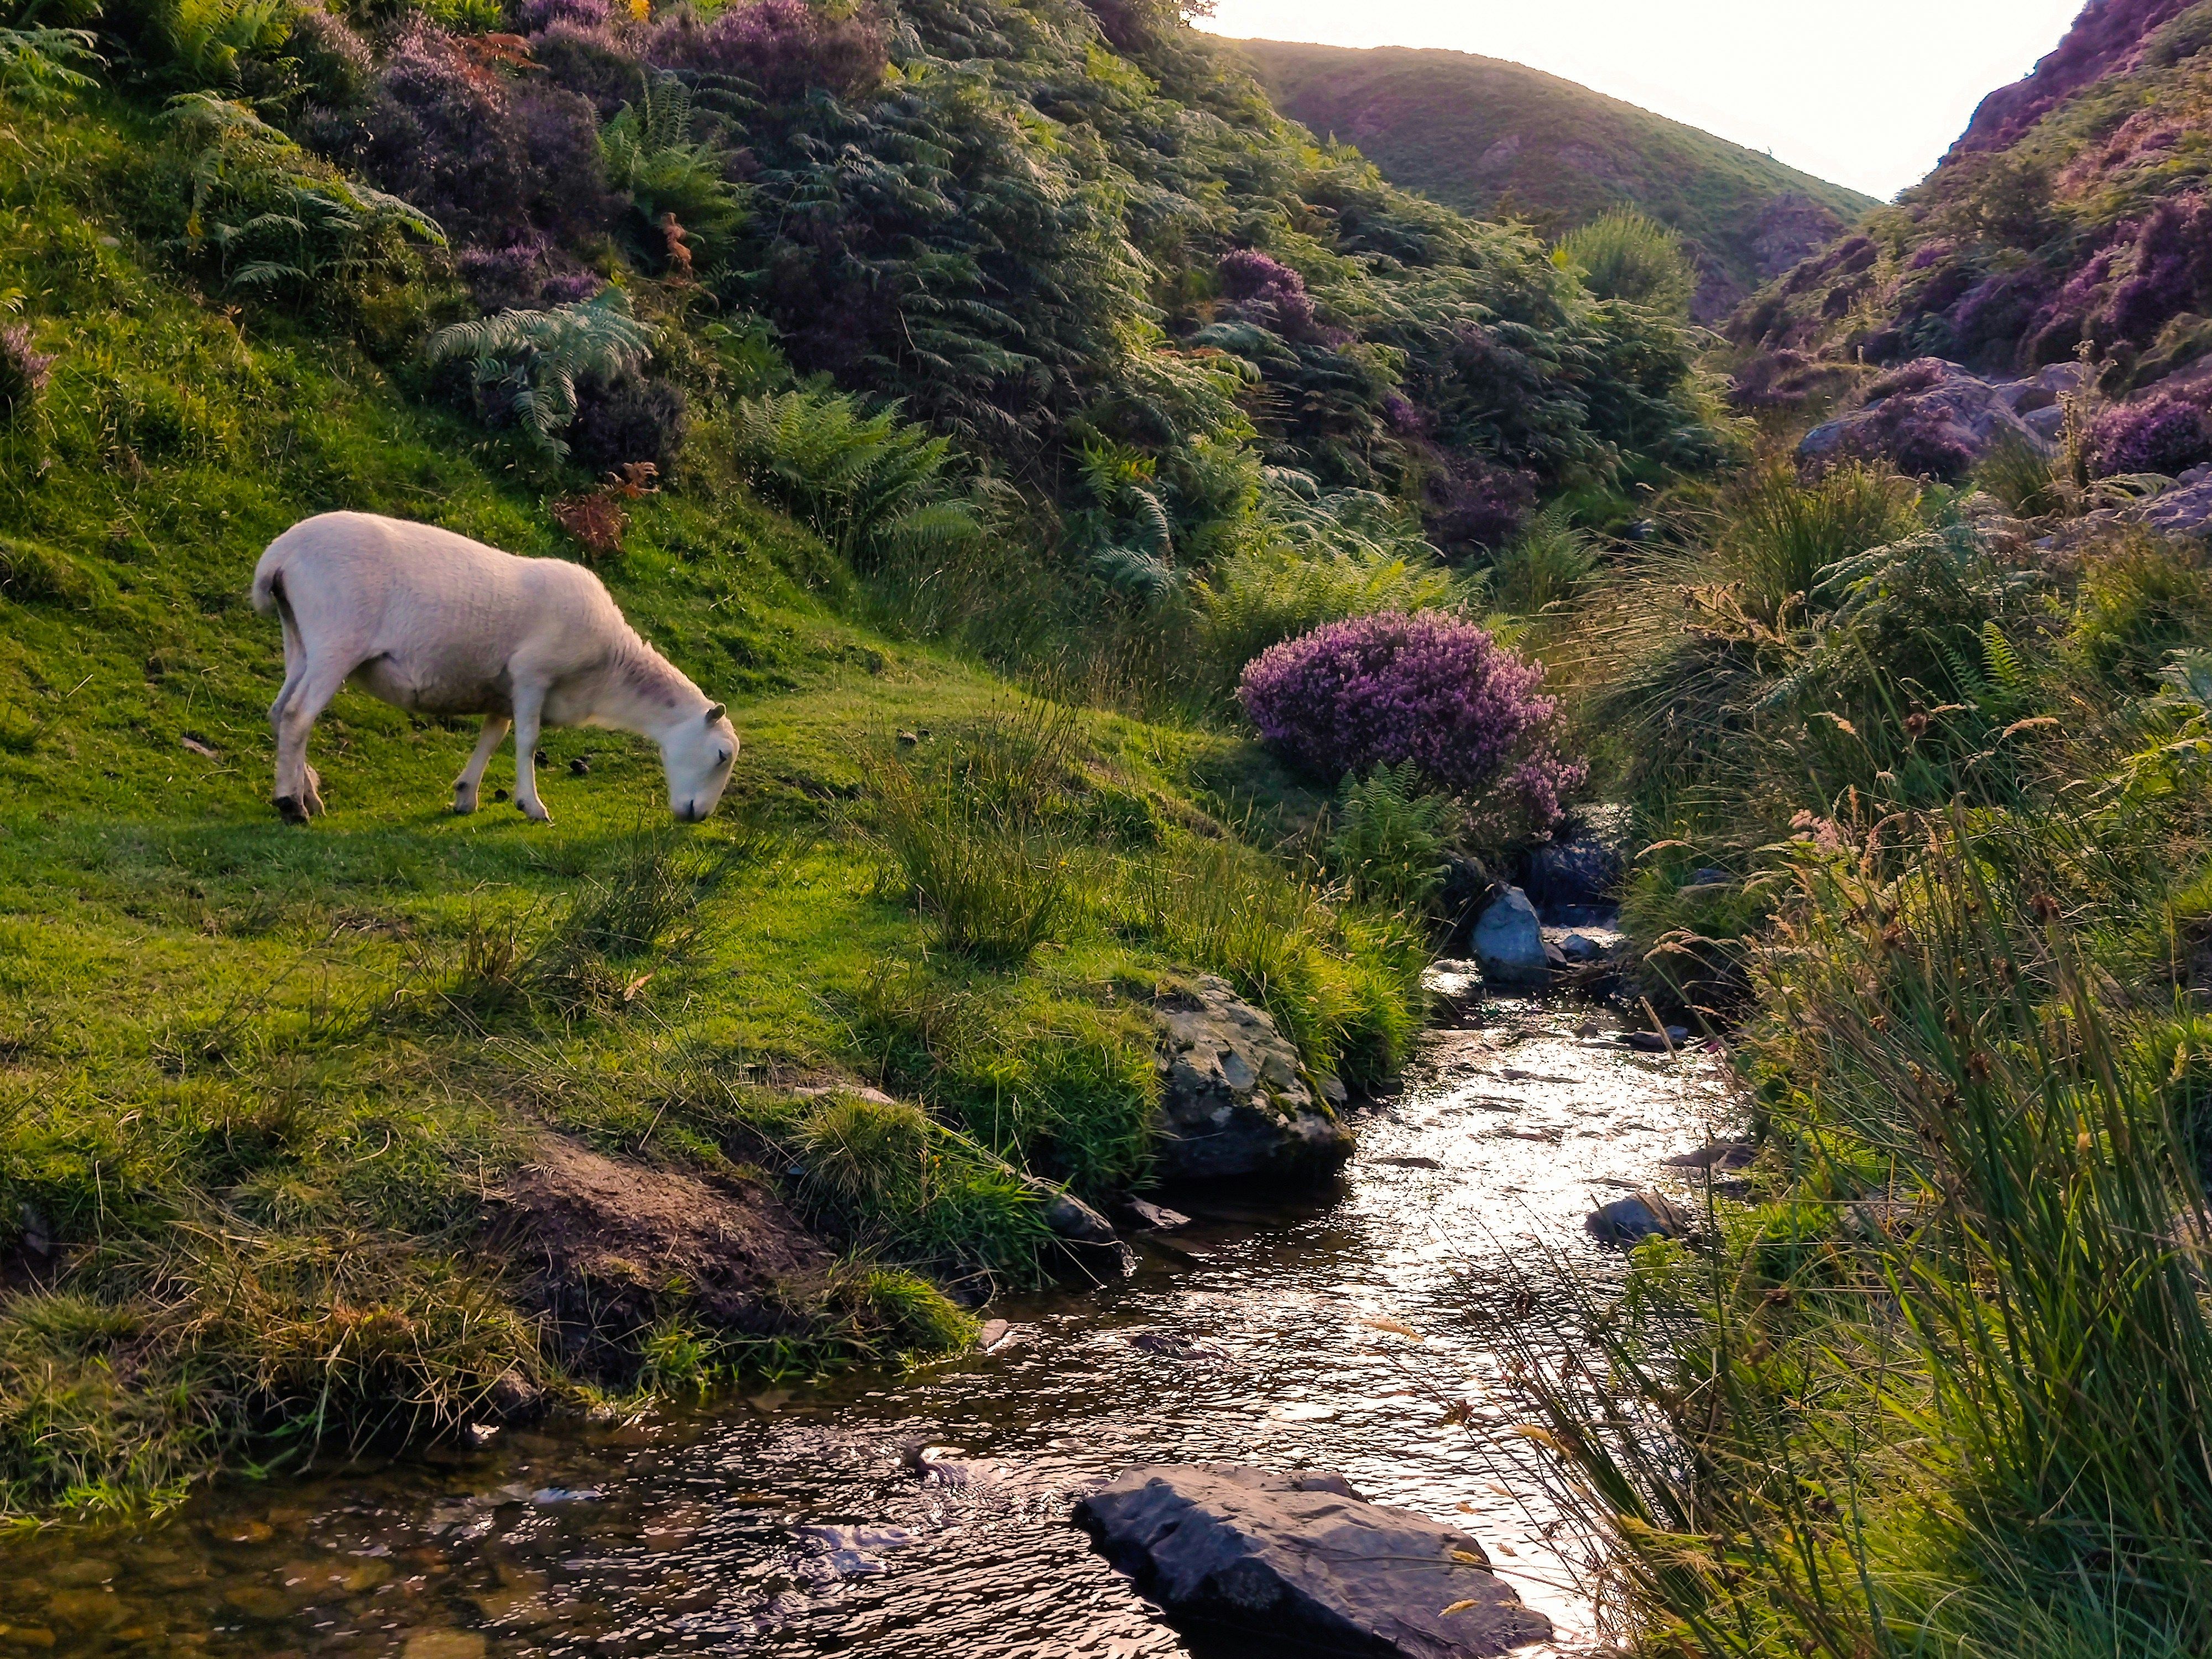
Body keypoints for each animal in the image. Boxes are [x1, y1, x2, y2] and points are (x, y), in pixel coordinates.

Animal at [250, 511, 738, 825]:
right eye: (721, 755)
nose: (699, 817)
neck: (608, 673)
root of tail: (279, 556)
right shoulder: (532, 675)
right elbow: (527, 741)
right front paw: (532, 806)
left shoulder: (503, 692)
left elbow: (493, 737)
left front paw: (466, 796)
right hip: (337, 638)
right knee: (298, 716)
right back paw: (292, 805)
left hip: (301, 638)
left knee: (280, 711)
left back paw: (307, 795)